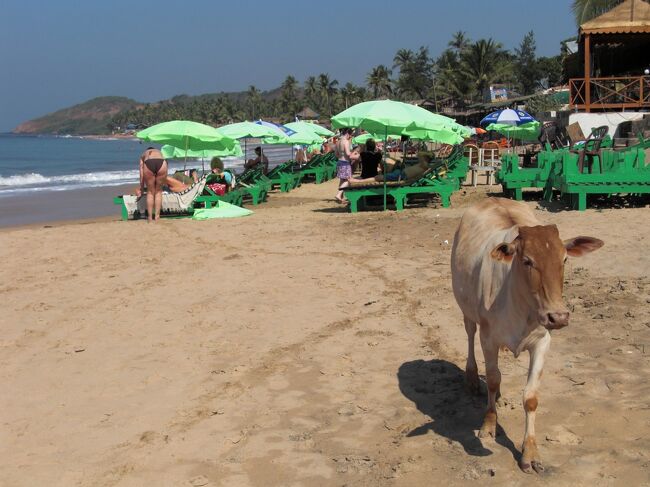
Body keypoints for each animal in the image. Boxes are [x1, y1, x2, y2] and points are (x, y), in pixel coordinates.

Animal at [448, 197, 600, 472]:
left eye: (564, 260)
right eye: (527, 260)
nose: (558, 316)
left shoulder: (542, 342)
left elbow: (530, 397)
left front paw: (530, 452)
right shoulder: (488, 338)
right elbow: (493, 378)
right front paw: (489, 424)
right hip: (466, 309)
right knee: (469, 335)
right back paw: (473, 378)